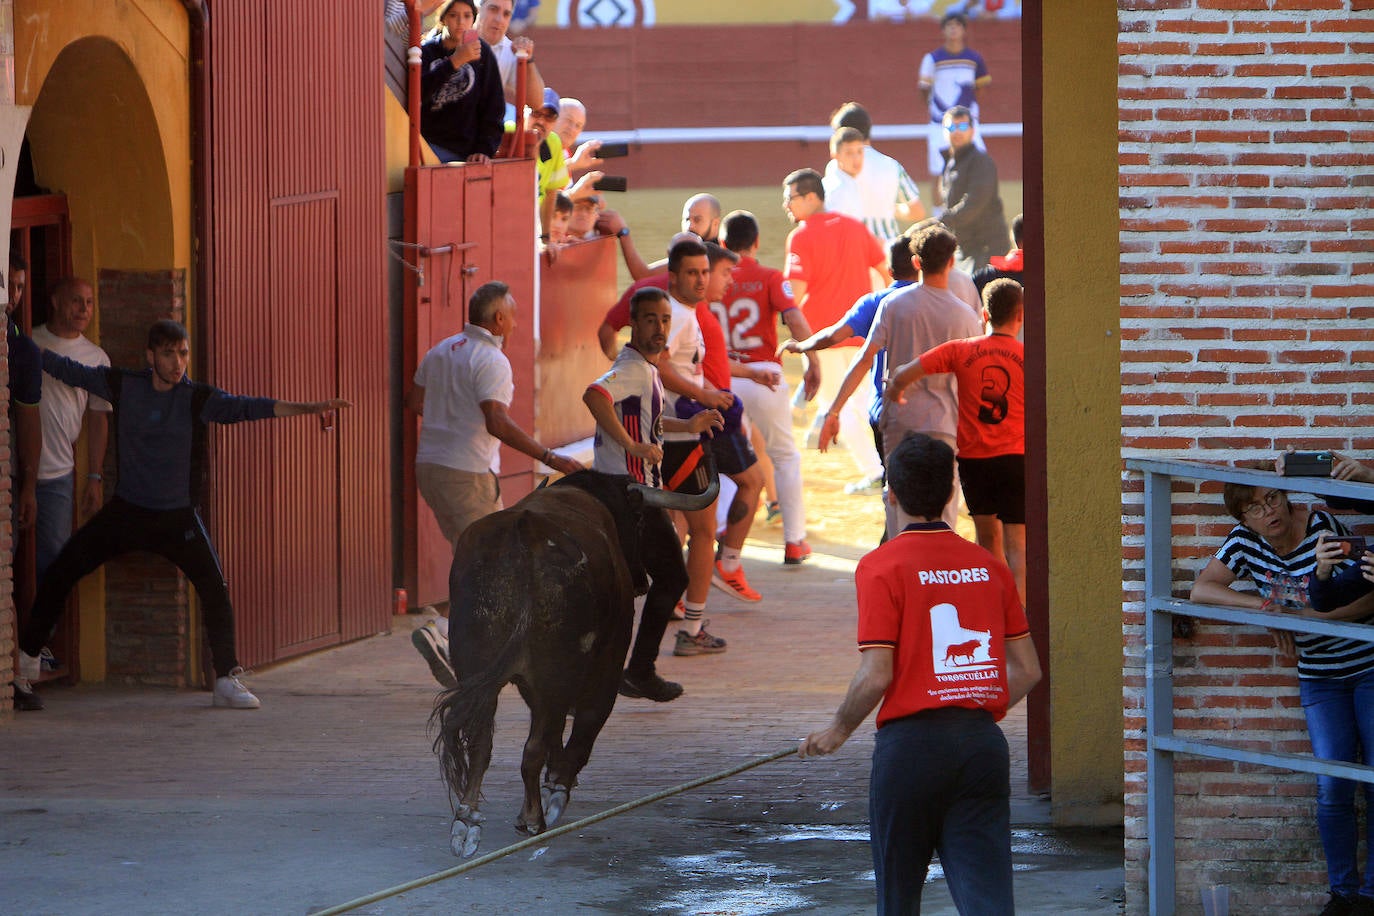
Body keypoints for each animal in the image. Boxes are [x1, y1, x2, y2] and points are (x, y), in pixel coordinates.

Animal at [434, 469, 719, 856]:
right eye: (640, 518)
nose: (643, 581)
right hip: (558, 671)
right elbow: (586, 722)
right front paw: (558, 786)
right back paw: (534, 817)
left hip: (476, 668)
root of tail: (523, 537)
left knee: (481, 741)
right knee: (537, 744)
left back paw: (467, 821)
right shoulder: (608, 660)